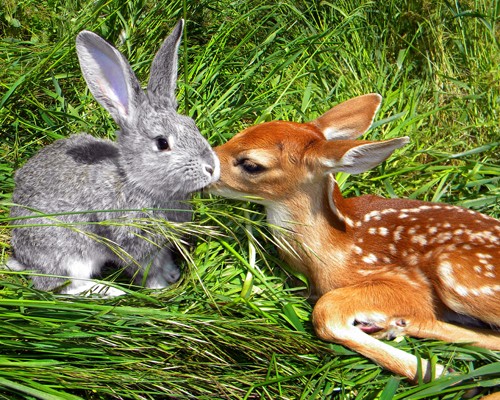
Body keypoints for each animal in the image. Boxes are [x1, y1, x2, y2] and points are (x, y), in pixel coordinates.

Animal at [6, 20, 220, 296]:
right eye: (162, 143)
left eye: (192, 124)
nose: (212, 168)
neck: (137, 183)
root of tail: (23, 258)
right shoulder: (131, 244)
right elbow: (147, 271)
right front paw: (159, 288)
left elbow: (163, 260)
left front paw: (172, 273)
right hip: (69, 255)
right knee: (65, 287)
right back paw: (108, 291)